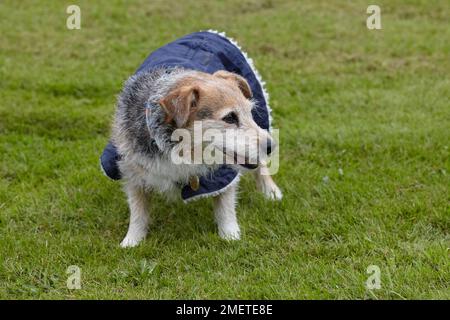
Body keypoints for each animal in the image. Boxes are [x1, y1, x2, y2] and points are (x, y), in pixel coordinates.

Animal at [102, 31, 282, 248]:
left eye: (249, 112)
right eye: (230, 118)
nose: (272, 146)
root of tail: (205, 32)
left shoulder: (223, 175)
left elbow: (225, 206)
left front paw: (230, 236)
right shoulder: (130, 170)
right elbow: (138, 211)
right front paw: (132, 241)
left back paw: (270, 191)